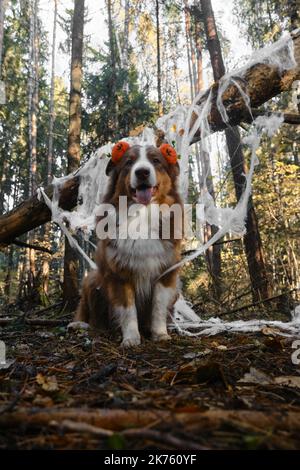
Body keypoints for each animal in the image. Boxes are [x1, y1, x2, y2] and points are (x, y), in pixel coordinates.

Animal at [75, 141, 183, 346]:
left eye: (156, 161)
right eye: (129, 162)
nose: (142, 172)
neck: (142, 214)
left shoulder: (166, 271)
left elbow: (158, 306)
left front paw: (160, 334)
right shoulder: (119, 272)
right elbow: (128, 309)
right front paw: (131, 338)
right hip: (91, 279)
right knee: (88, 313)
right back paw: (80, 325)